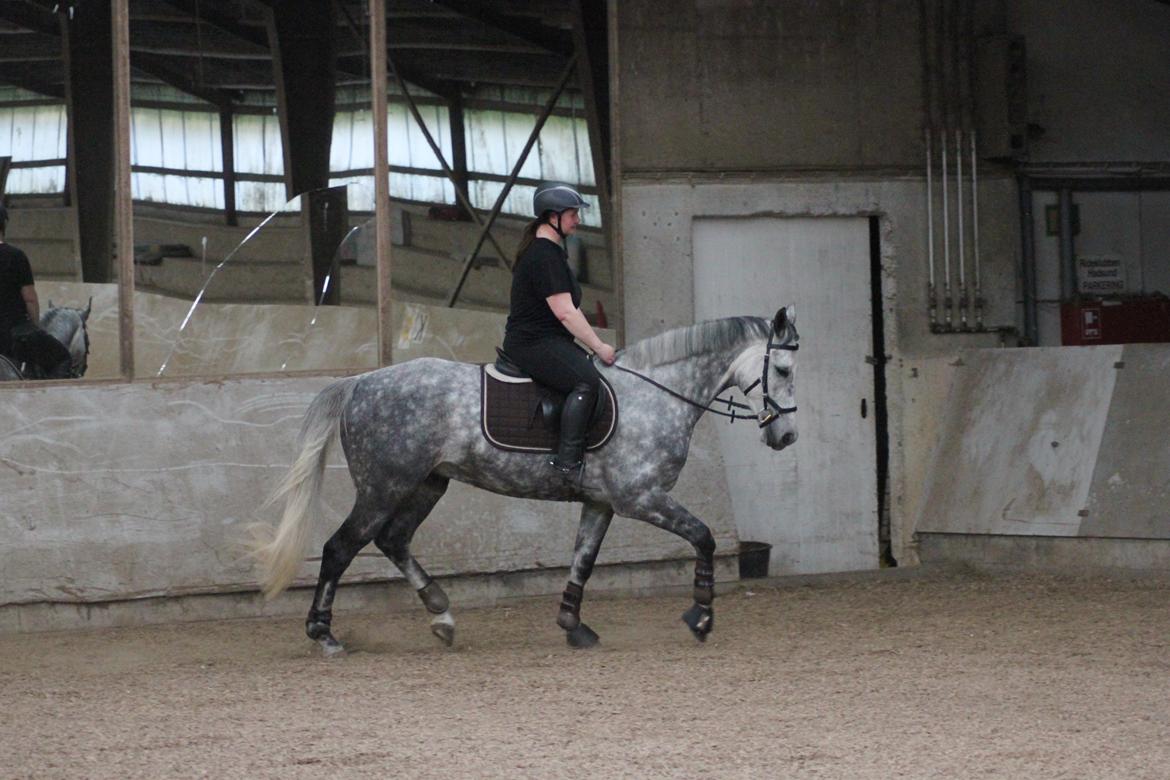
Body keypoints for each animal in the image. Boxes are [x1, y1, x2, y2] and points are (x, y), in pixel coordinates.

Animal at [253, 308, 804, 654]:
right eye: (781, 368)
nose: (787, 436)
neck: (658, 393)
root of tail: (361, 381)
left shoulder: (601, 502)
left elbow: (583, 559)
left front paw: (573, 626)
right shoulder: (641, 497)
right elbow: (704, 537)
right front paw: (702, 617)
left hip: (427, 483)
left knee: (392, 540)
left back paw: (441, 615)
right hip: (383, 486)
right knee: (340, 548)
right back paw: (324, 634)